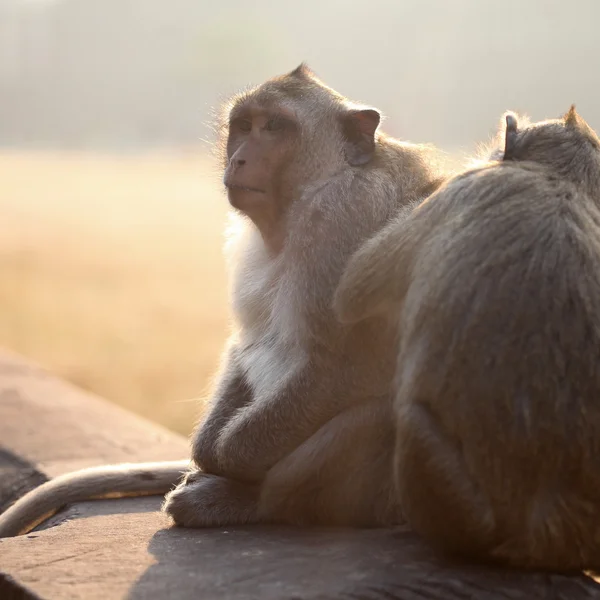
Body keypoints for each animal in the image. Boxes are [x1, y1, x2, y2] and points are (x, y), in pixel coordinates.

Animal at [0, 65, 450, 540]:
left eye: (275, 127)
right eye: (245, 126)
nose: (239, 160)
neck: (317, 184)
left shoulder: (340, 217)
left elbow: (346, 364)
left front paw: (229, 461)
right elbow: (245, 346)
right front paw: (206, 451)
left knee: (374, 409)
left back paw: (251, 501)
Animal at [332, 108, 600, 572]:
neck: (563, 181)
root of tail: (540, 532)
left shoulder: (465, 188)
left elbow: (354, 290)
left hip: (458, 505)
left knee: (411, 418)